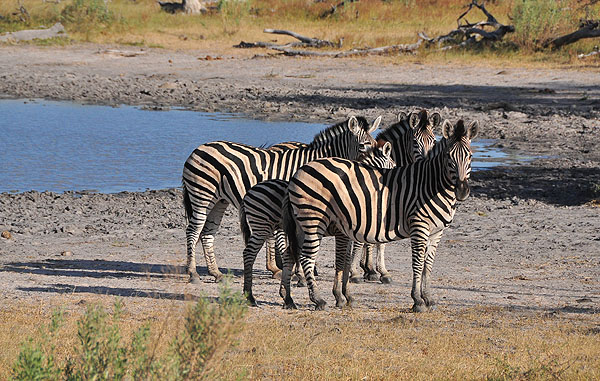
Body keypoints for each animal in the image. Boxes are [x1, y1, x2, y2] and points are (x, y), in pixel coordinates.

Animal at [180, 116, 382, 282]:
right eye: (363, 145)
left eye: (374, 143)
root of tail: (198, 149)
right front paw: (299, 274)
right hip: (202, 195)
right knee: (193, 231)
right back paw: (193, 273)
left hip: (219, 201)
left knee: (207, 233)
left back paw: (216, 273)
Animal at [239, 142, 398, 306]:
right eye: (393, 166)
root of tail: (248, 193)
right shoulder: (347, 230)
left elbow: (348, 259)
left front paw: (348, 292)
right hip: (261, 226)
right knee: (249, 253)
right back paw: (251, 297)